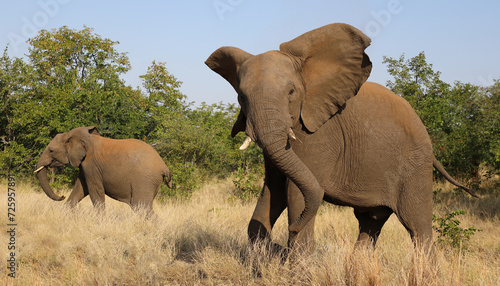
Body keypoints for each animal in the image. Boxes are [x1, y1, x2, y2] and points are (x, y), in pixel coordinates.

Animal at [34, 125, 172, 217]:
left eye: (51, 150)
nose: (62, 195)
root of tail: (164, 166)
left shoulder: (91, 164)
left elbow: (95, 190)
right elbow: (80, 188)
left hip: (145, 180)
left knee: (141, 207)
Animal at [206, 22, 476, 251]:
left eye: (291, 92)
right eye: (241, 97)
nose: (287, 235)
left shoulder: (319, 134)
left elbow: (298, 192)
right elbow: (273, 190)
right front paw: (273, 251)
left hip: (415, 166)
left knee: (417, 227)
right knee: (370, 224)